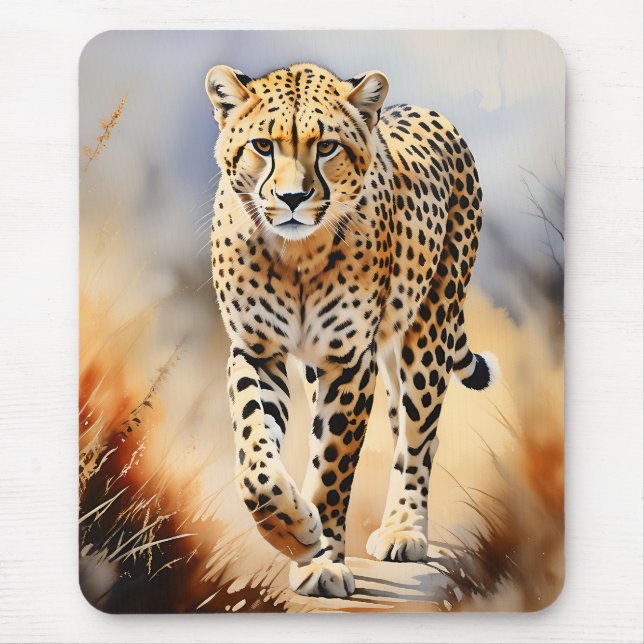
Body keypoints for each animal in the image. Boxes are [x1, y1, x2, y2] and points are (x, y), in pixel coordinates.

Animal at [204, 62, 499, 599]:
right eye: (262, 145)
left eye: (327, 147)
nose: (293, 198)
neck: (297, 254)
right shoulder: (258, 351)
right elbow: (255, 456)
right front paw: (293, 532)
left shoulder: (348, 363)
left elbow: (333, 466)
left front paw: (319, 560)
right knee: (400, 425)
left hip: (430, 331)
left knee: (419, 436)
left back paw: (405, 530)